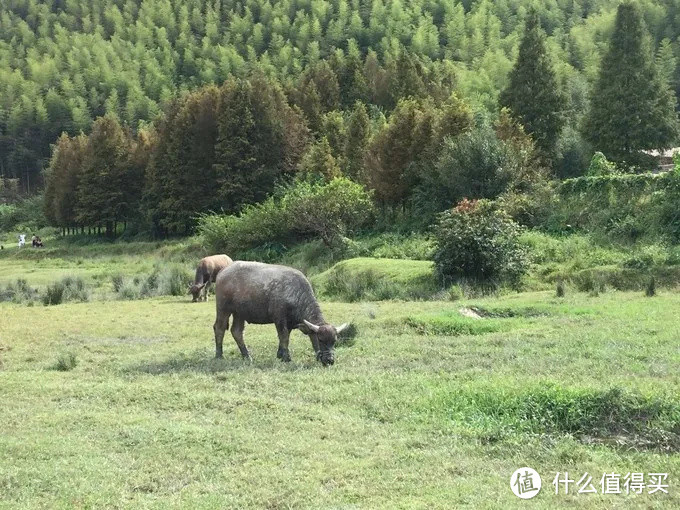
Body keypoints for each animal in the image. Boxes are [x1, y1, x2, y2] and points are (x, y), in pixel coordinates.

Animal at [212, 260, 348, 364]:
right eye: (320, 340)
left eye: (334, 341)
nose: (330, 360)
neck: (295, 293)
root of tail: (223, 271)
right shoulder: (279, 319)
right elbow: (283, 336)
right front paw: (287, 357)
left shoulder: (291, 323)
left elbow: (285, 337)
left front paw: (280, 355)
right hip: (223, 308)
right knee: (219, 327)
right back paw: (219, 355)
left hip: (240, 313)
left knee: (237, 331)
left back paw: (247, 356)